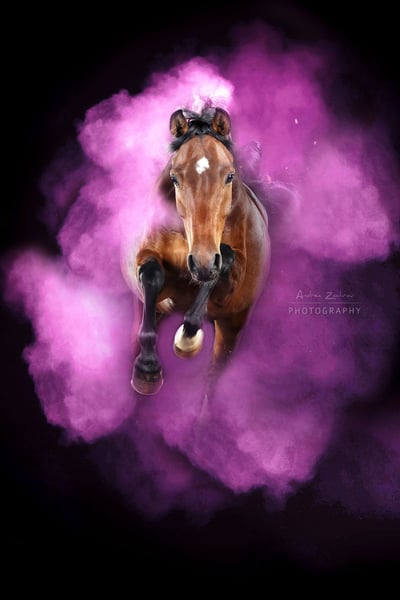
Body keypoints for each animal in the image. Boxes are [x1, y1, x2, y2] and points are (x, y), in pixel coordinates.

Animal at [128, 106, 271, 395]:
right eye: (175, 178)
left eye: (229, 176)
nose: (201, 261)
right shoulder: (148, 260)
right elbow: (152, 273)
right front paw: (147, 370)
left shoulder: (227, 287)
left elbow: (224, 259)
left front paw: (188, 336)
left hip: (232, 327)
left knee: (213, 380)